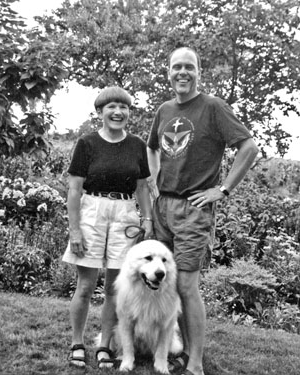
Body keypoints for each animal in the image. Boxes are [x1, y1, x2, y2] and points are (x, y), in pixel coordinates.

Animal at [97, 241, 182, 374]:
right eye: (148, 258)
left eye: (164, 260)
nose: (160, 274)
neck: (148, 294)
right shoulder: (126, 323)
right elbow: (128, 347)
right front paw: (126, 365)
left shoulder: (166, 325)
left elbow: (162, 350)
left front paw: (161, 368)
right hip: (116, 330)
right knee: (122, 347)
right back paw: (120, 357)